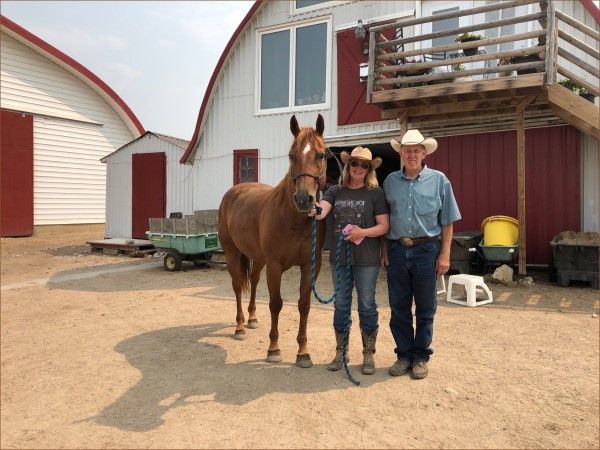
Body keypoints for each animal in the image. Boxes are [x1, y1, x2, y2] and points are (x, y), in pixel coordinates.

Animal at [217, 114, 326, 368]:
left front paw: (303, 353)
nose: (303, 199)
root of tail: (233, 193)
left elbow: (304, 304)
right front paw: (274, 349)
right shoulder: (275, 265)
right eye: (291, 155)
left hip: (258, 258)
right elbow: (276, 303)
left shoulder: (310, 266)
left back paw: (252, 318)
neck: (293, 220)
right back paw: (239, 327)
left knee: (254, 282)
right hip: (232, 253)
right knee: (238, 286)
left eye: (321, 155)